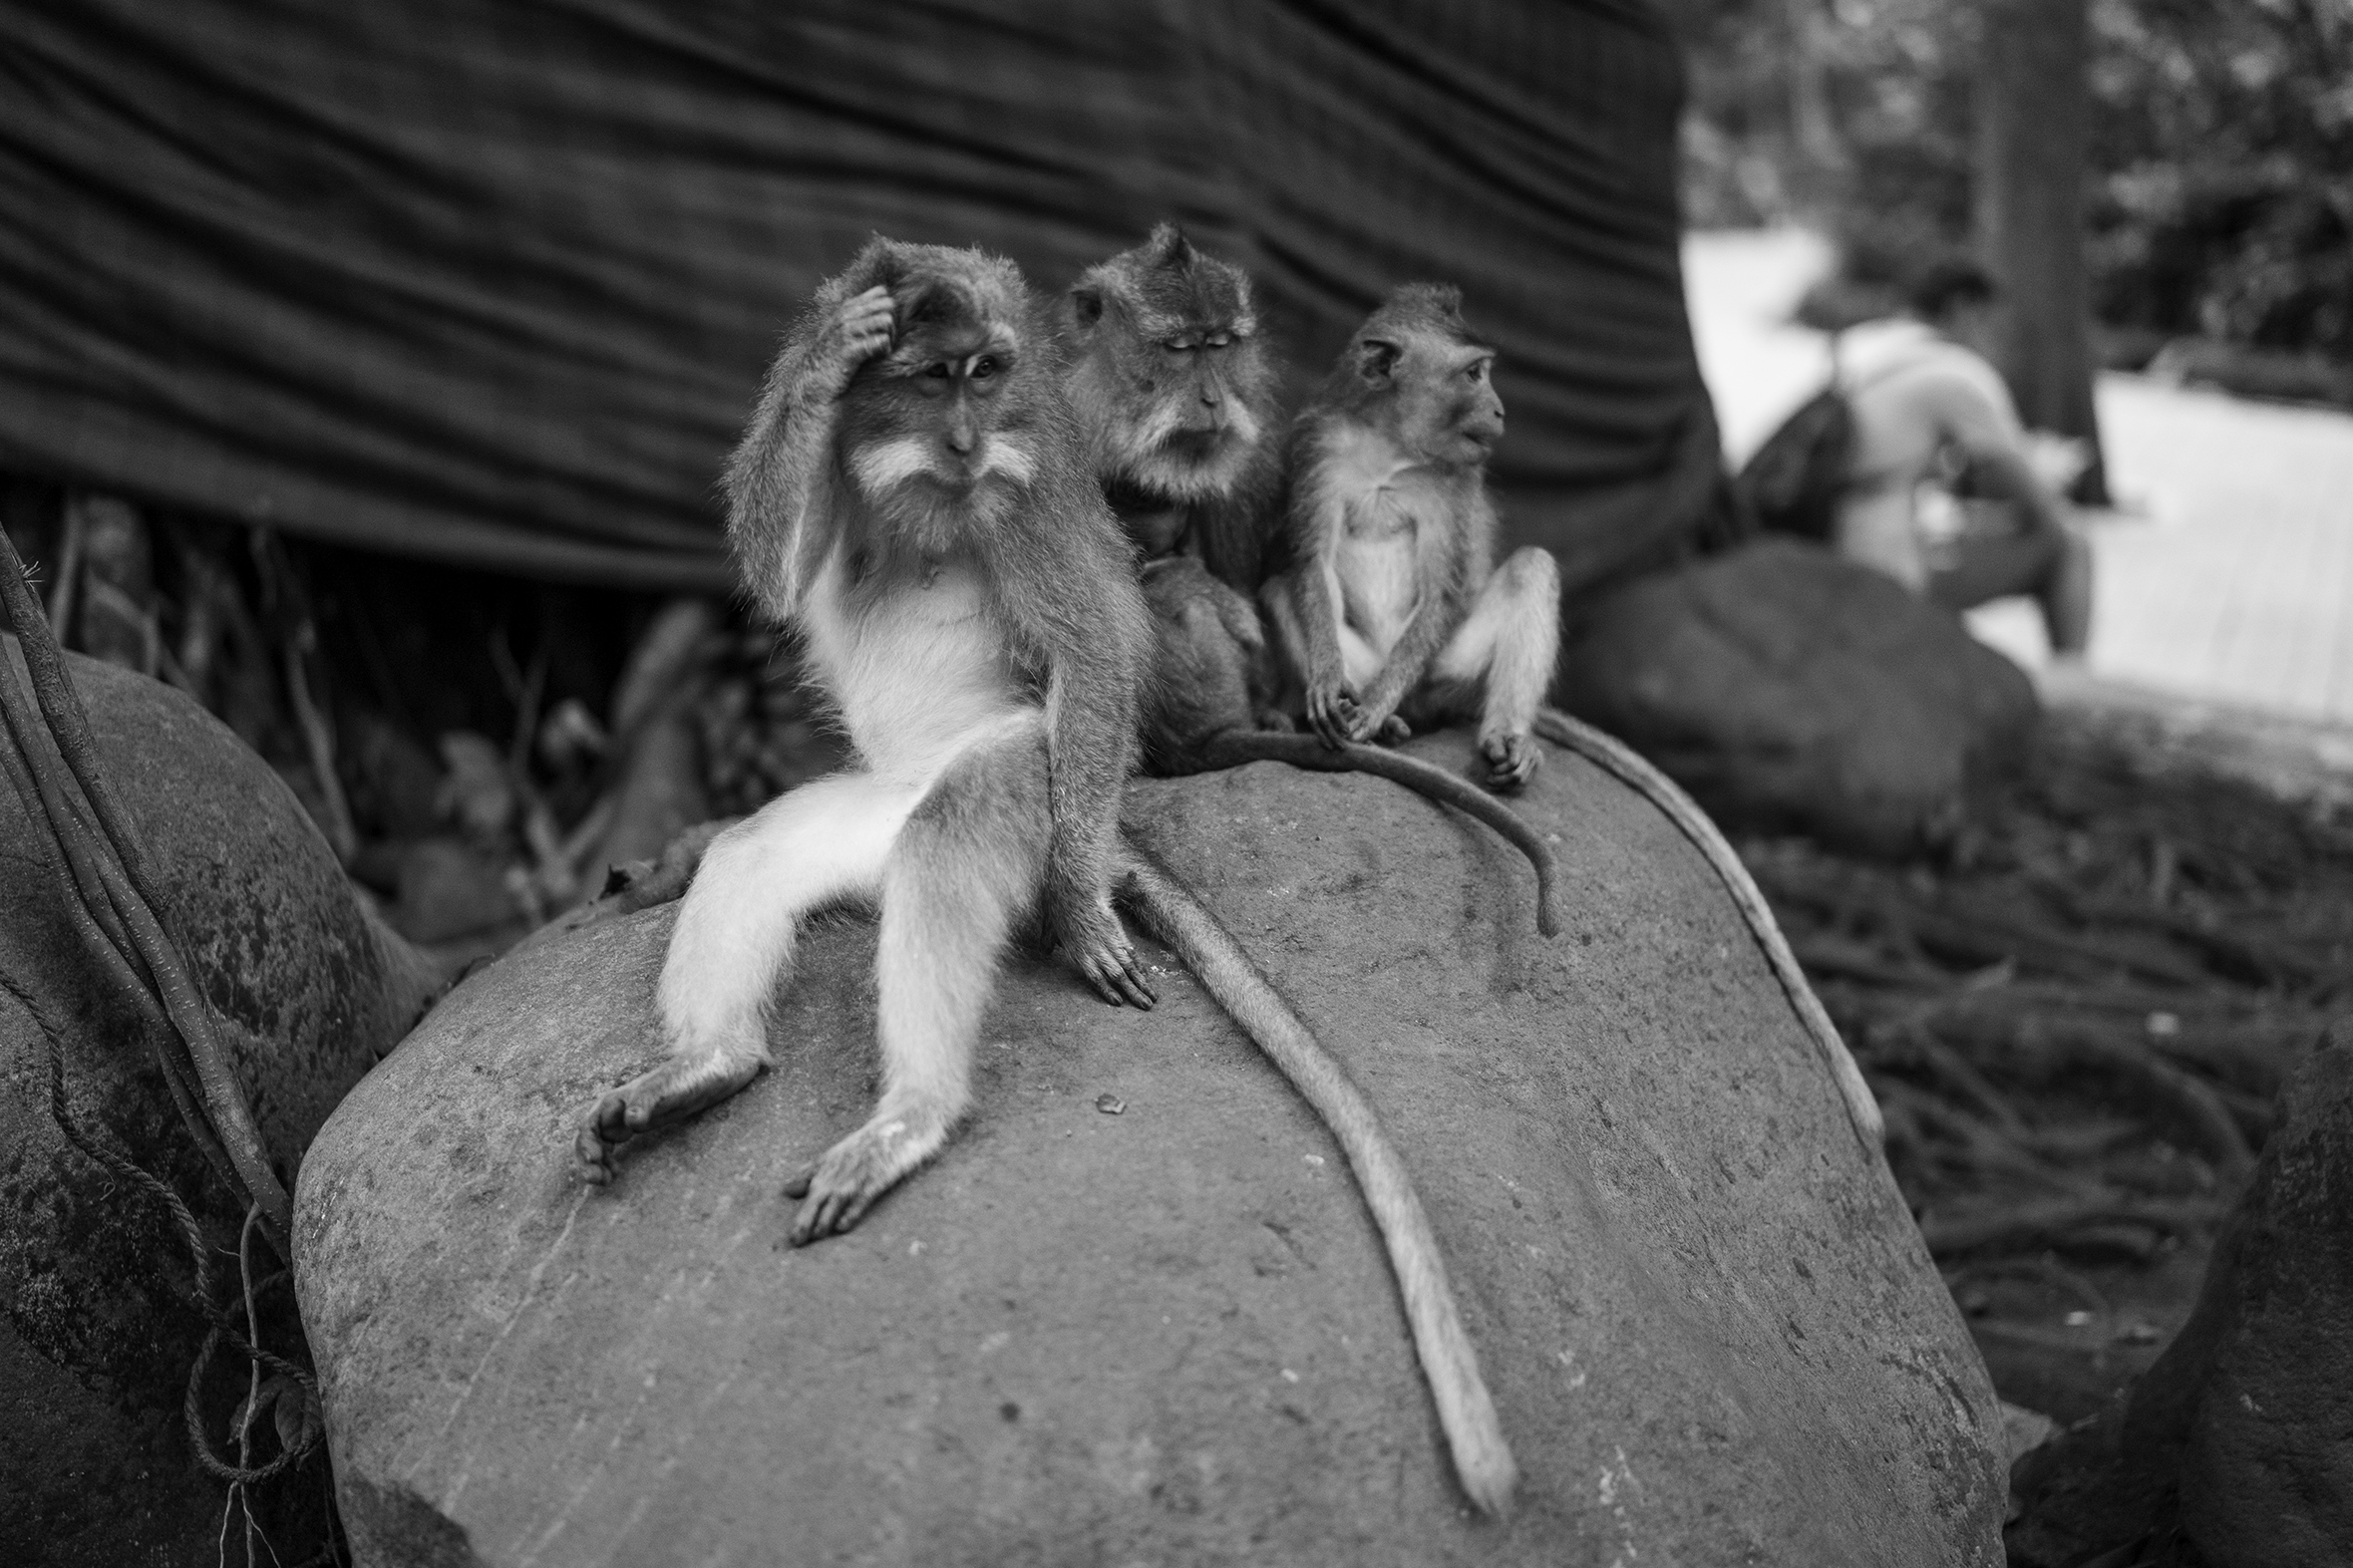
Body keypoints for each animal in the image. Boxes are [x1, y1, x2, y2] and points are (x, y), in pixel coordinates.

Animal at [573, 245, 1524, 1523]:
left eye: (989, 372)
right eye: (935, 376)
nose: (969, 435)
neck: (922, 492)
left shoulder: (1029, 496)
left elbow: (1094, 649)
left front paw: (1075, 912)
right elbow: (777, 570)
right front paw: (828, 346)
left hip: (1025, 771)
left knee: (948, 841)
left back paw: (915, 1110)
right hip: (871, 808)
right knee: (756, 858)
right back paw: (709, 1064)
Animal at [1270, 283, 1562, 798]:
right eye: (1474, 374)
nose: (1499, 409)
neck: (1390, 449)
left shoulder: (1455, 480)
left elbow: (1442, 593)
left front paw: (1374, 709)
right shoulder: (1318, 448)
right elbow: (1312, 564)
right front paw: (1326, 681)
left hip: (1444, 675)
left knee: (1532, 567)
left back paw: (1503, 736)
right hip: (1368, 664)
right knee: (1281, 587)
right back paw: (1376, 719)